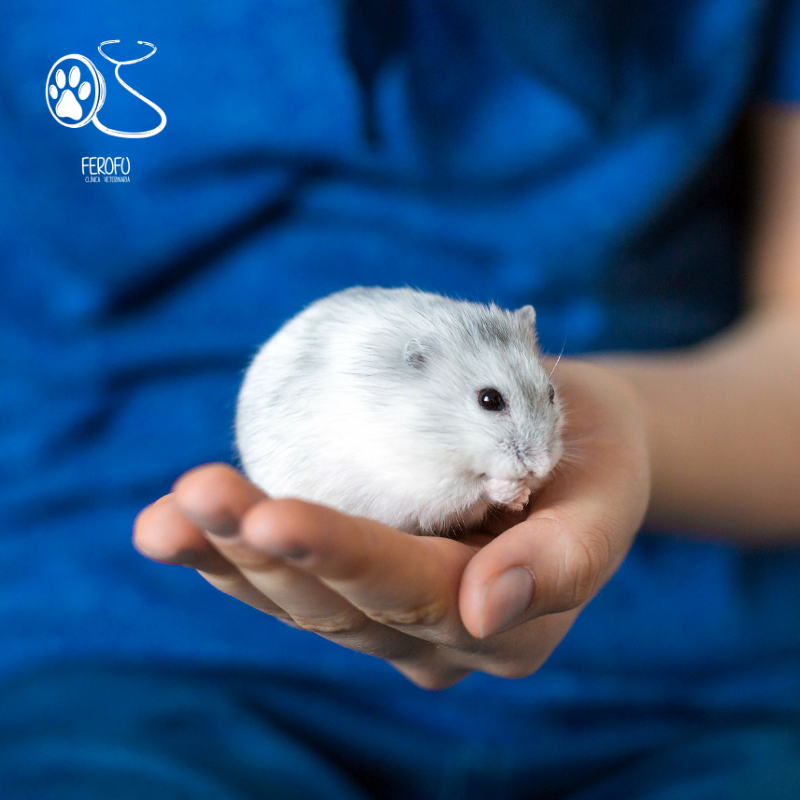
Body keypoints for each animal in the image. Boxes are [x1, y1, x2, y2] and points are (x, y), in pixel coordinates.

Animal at [235, 287, 563, 535]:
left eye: (551, 393)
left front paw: (523, 495)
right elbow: (473, 491)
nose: (542, 467)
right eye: (489, 399)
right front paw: (513, 492)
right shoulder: (418, 484)